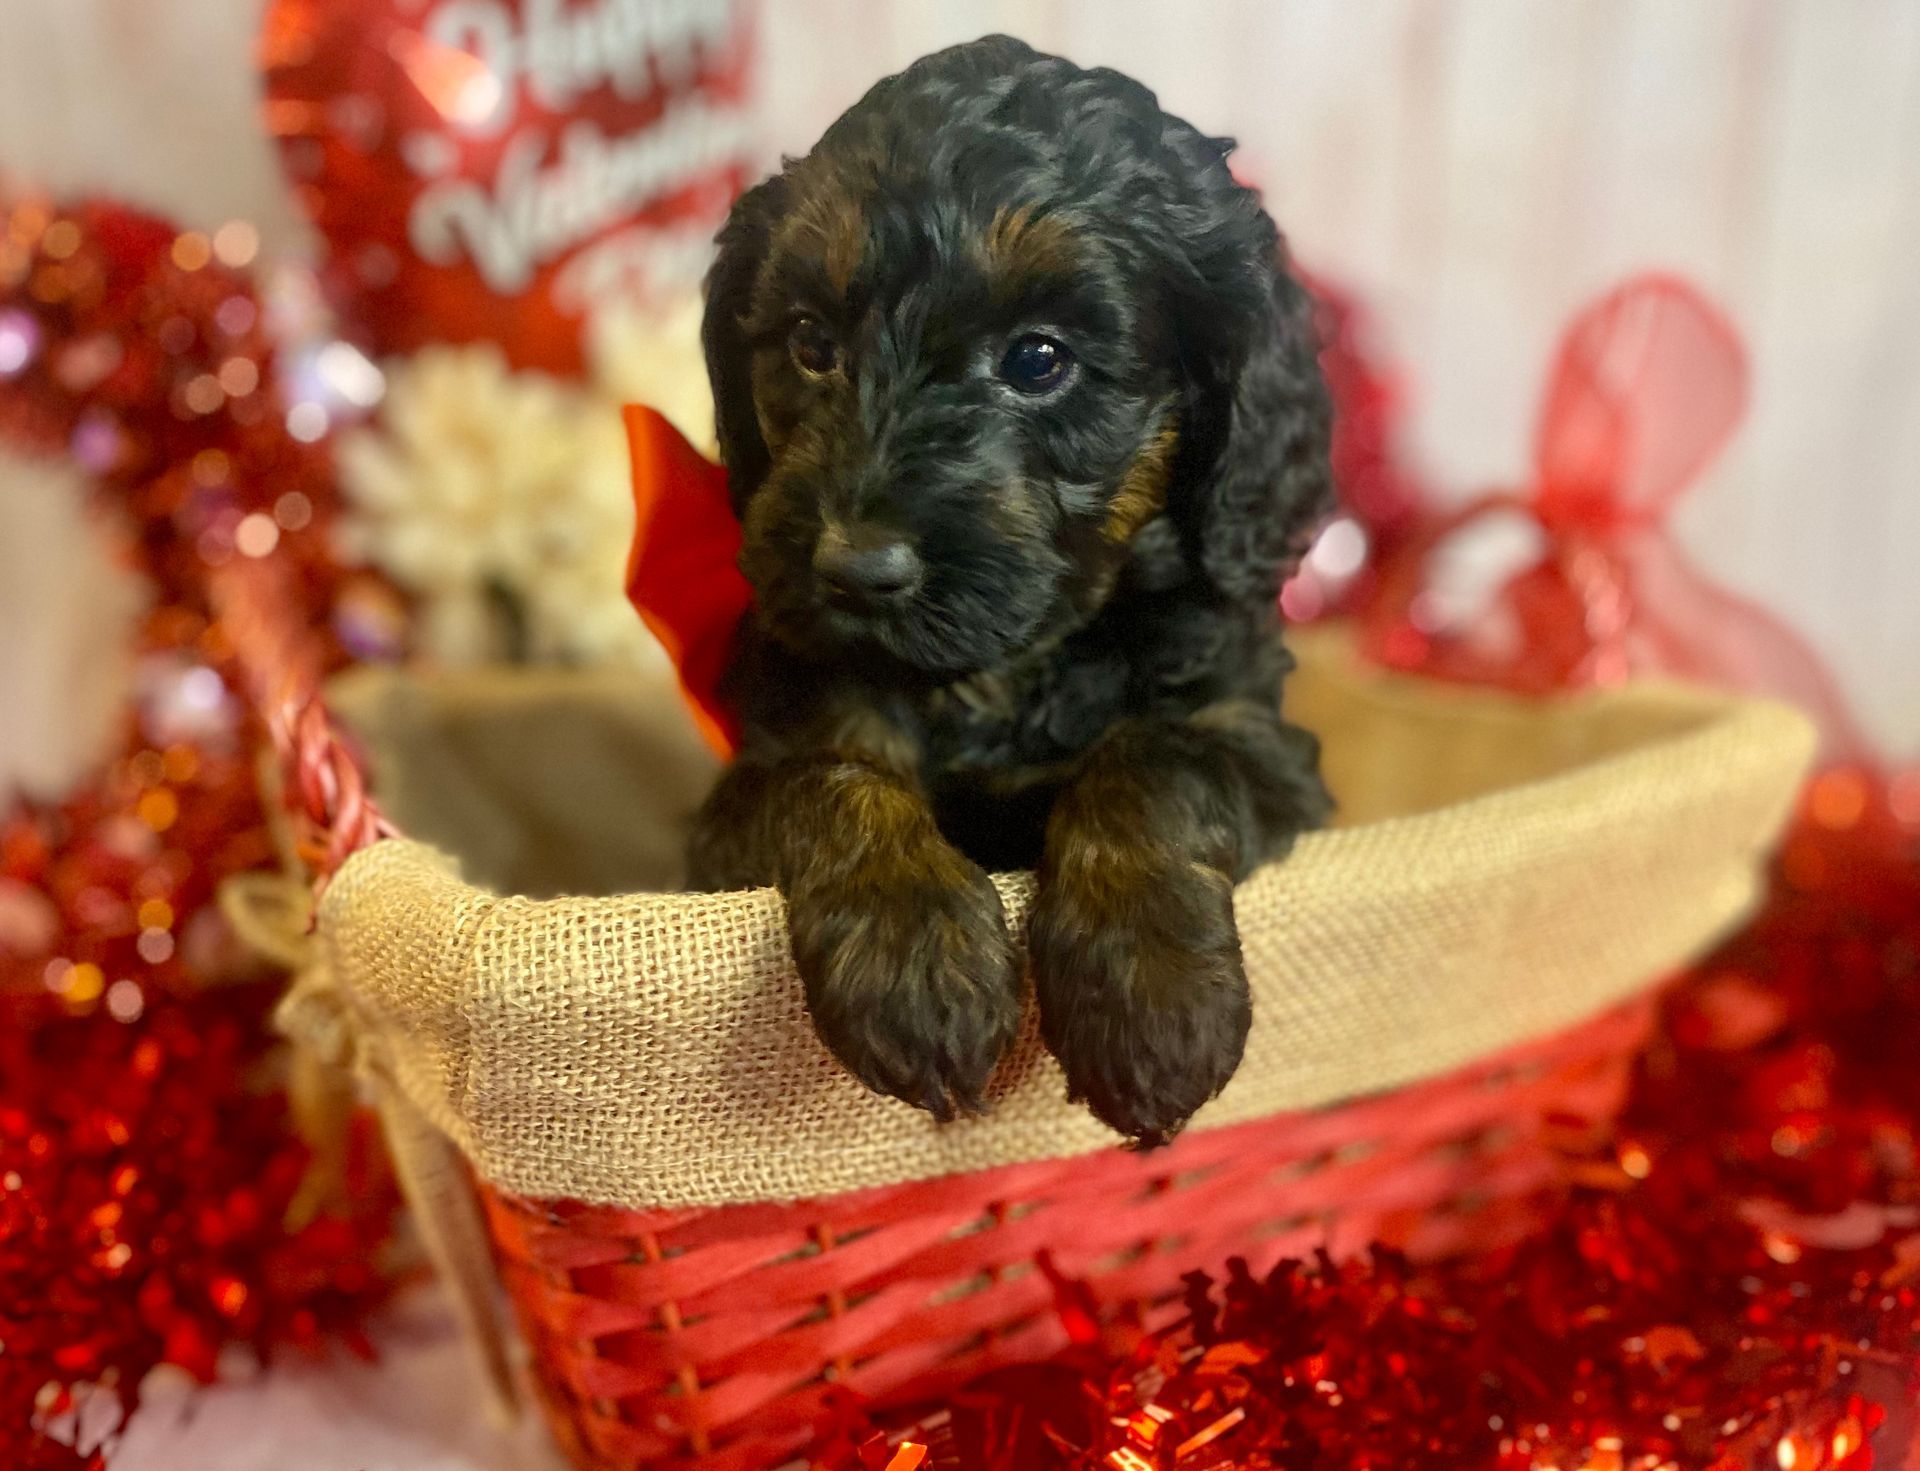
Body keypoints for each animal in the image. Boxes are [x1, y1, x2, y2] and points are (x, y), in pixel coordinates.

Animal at [691, 31, 1336, 1136]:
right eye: (812, 343)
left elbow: (1155, 759)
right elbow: (831, 772)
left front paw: (1151, 993)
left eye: (1040, 359)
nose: (854, 570)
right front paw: (915, 953)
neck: (1003, 672)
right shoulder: (738, 792)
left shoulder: (1259, 736)